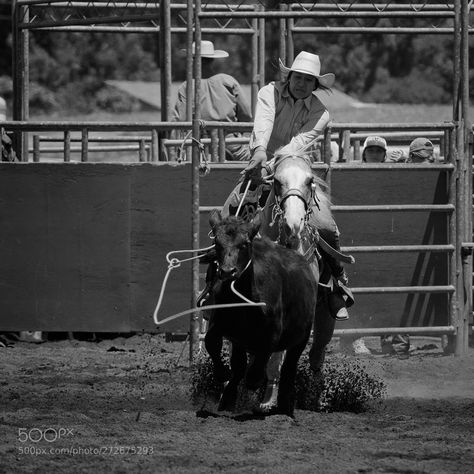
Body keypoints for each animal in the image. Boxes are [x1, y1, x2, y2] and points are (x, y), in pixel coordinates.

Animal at [204, 209, 314, 416]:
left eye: (245, 244)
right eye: (217, 243)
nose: (228, 272)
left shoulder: (272, 332)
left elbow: (261, 359)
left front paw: (254, 382)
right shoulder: (220, 325)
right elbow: (211, 343)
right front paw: (223, 377)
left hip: (302, 337)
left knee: (288, 368)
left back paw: (284, 405)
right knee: (240, 366)